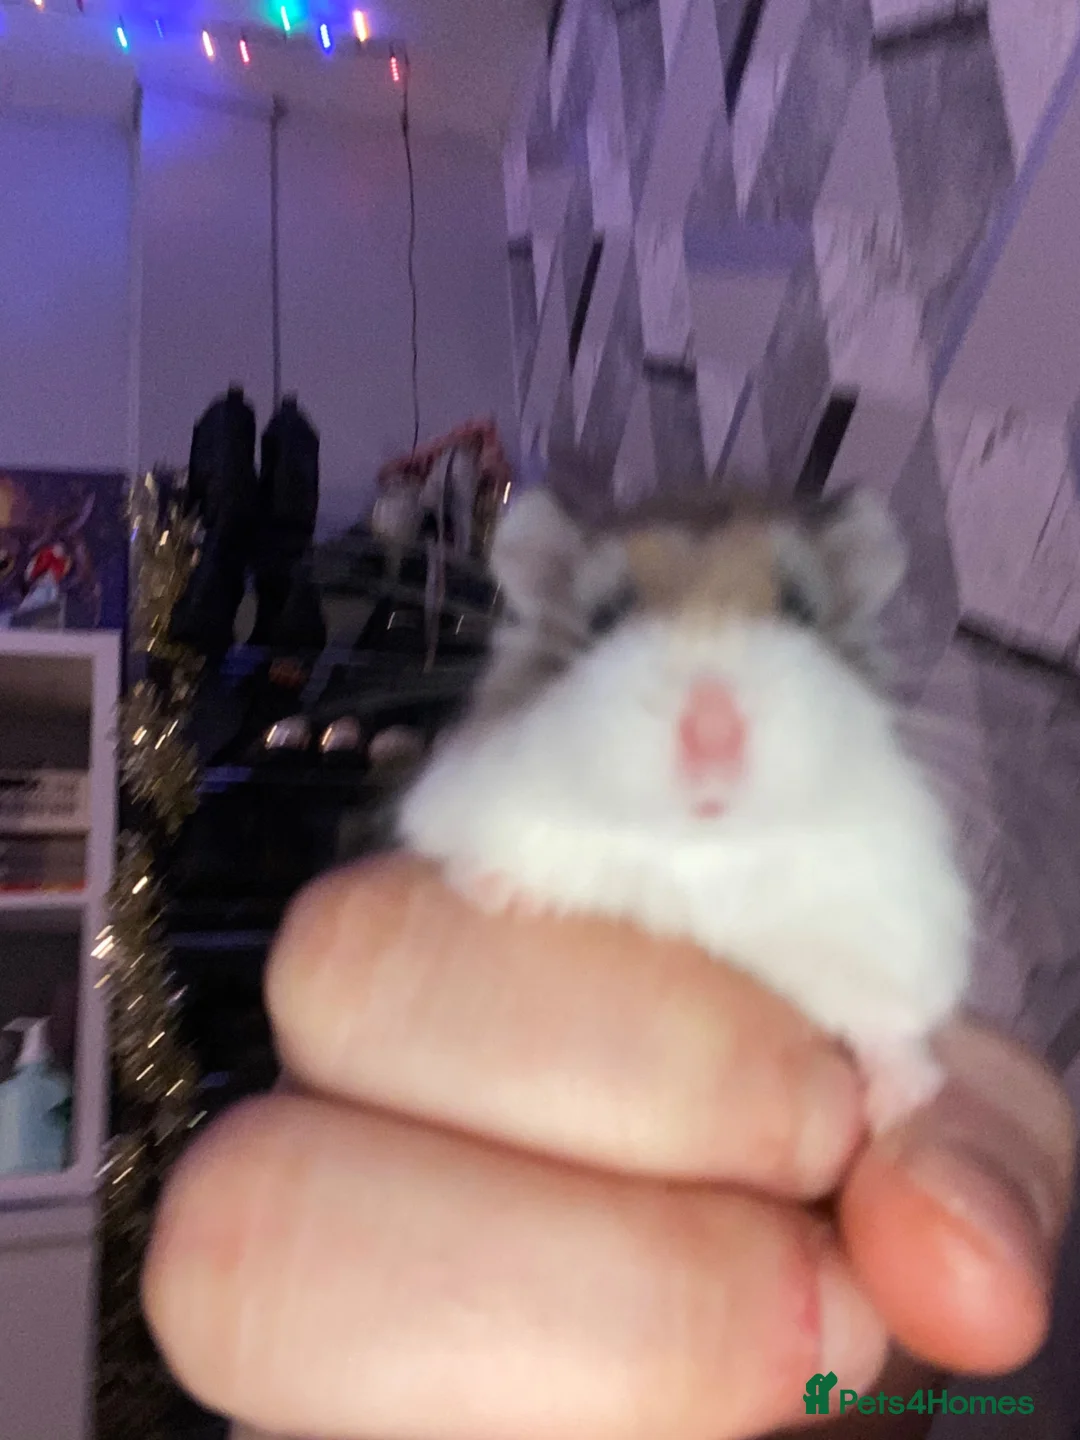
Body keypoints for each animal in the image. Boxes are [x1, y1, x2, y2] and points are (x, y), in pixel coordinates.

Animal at [397, 483, 973, 1135]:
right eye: (605, 617)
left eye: (801, 608)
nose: (714, 732)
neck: (702, 849)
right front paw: (501, 889)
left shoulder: (890, 924)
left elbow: (888, 1019)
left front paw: (898, 1104)